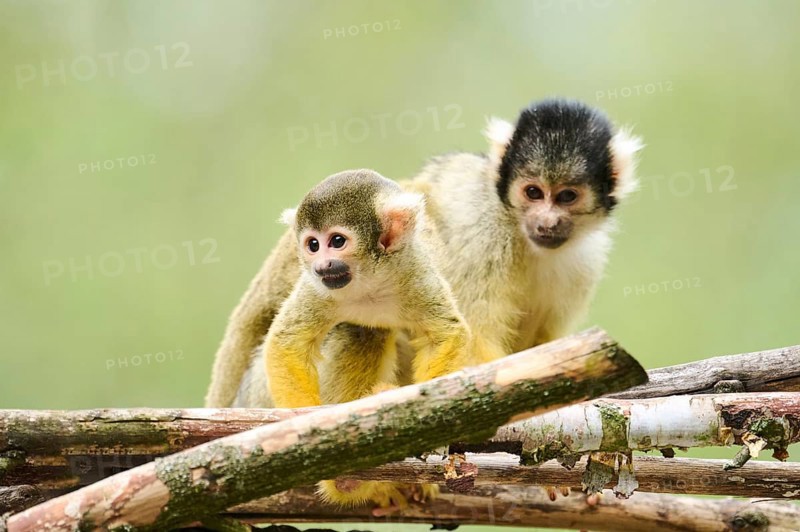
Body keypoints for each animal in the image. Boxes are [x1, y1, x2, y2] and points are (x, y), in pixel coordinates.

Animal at [204, 98, 642, 508]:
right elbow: (480, 345)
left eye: (567, 196)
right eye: (533, 192)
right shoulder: (482, 227)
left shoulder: (582, 261)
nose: (547, 223)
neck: (520, 232)